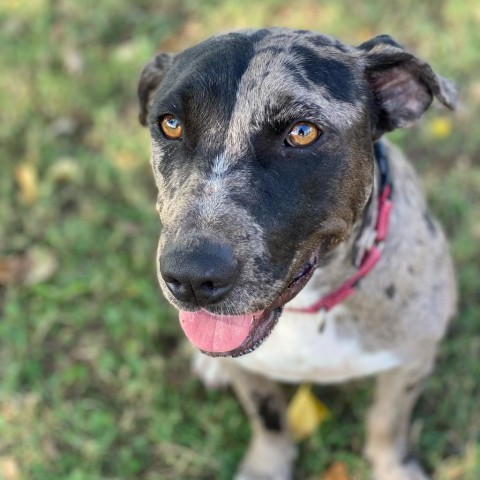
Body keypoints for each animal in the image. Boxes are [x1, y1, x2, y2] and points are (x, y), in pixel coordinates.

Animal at [138, 28, 458, 478]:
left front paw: (394, 467)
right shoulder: (247, 371)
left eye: (302, 132)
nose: (191, 278)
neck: (309, 306)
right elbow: (268, 416)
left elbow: (387, 421)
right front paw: (266, 466)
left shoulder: (410, 362)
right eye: (170, 124)